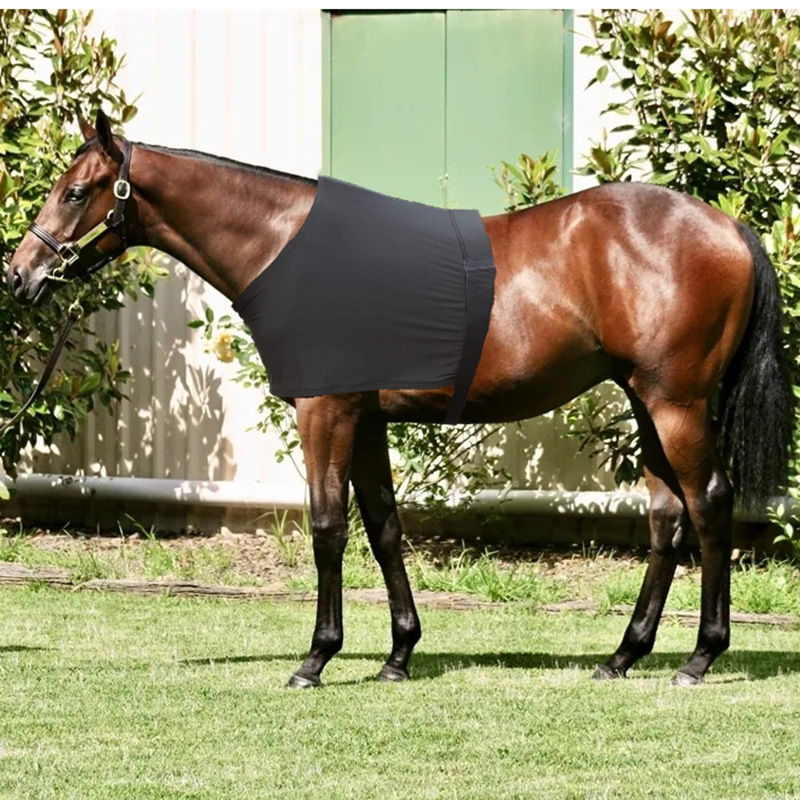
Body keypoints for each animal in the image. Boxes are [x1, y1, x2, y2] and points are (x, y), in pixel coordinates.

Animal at [7, 110, 793, 688]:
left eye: (75, 191)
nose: (20, 274)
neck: (289, 246)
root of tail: (727, 224)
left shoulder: (325, 410)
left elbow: (328, 527)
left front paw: (316, 658)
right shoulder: (366, 418)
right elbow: (384, 527)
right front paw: (397, 654)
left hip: (675, 403)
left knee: (710, 504)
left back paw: (700, 657)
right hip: (644, 401)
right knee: (667, 518)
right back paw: (623, 655)